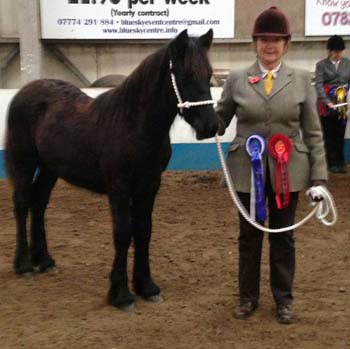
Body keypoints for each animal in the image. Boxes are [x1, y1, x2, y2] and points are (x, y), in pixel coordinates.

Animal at [5, 28, 217, 308]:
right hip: (24, 162)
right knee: (21, 204)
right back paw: (24, 265)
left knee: (38, 203)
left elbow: (144, 231)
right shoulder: (119, 186)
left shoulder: (150, 185)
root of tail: (25, 90)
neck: (134, 124)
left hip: (50, 168)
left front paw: (147, 286)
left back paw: (46, 261)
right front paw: (121, 294)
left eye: (209, 76)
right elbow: (123, 233)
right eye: (186, 75)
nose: (211, 127)